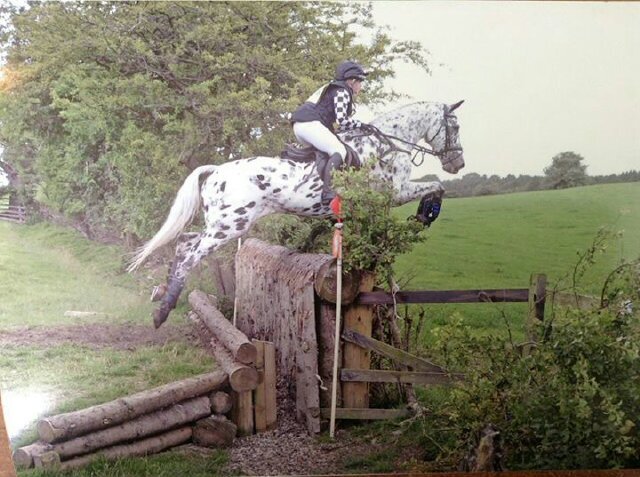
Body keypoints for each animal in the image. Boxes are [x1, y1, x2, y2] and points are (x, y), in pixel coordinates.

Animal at [127, 98, 464, 326]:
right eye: (456, 126)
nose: (457, 164)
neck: (384, 144)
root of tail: (216, 170)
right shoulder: (396, 192)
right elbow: (436, 186)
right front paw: (425, 214)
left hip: (221, 223)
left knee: (184, 241)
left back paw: (162, 292)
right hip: (231, 225)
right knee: (191, 254)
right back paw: (162, 311)